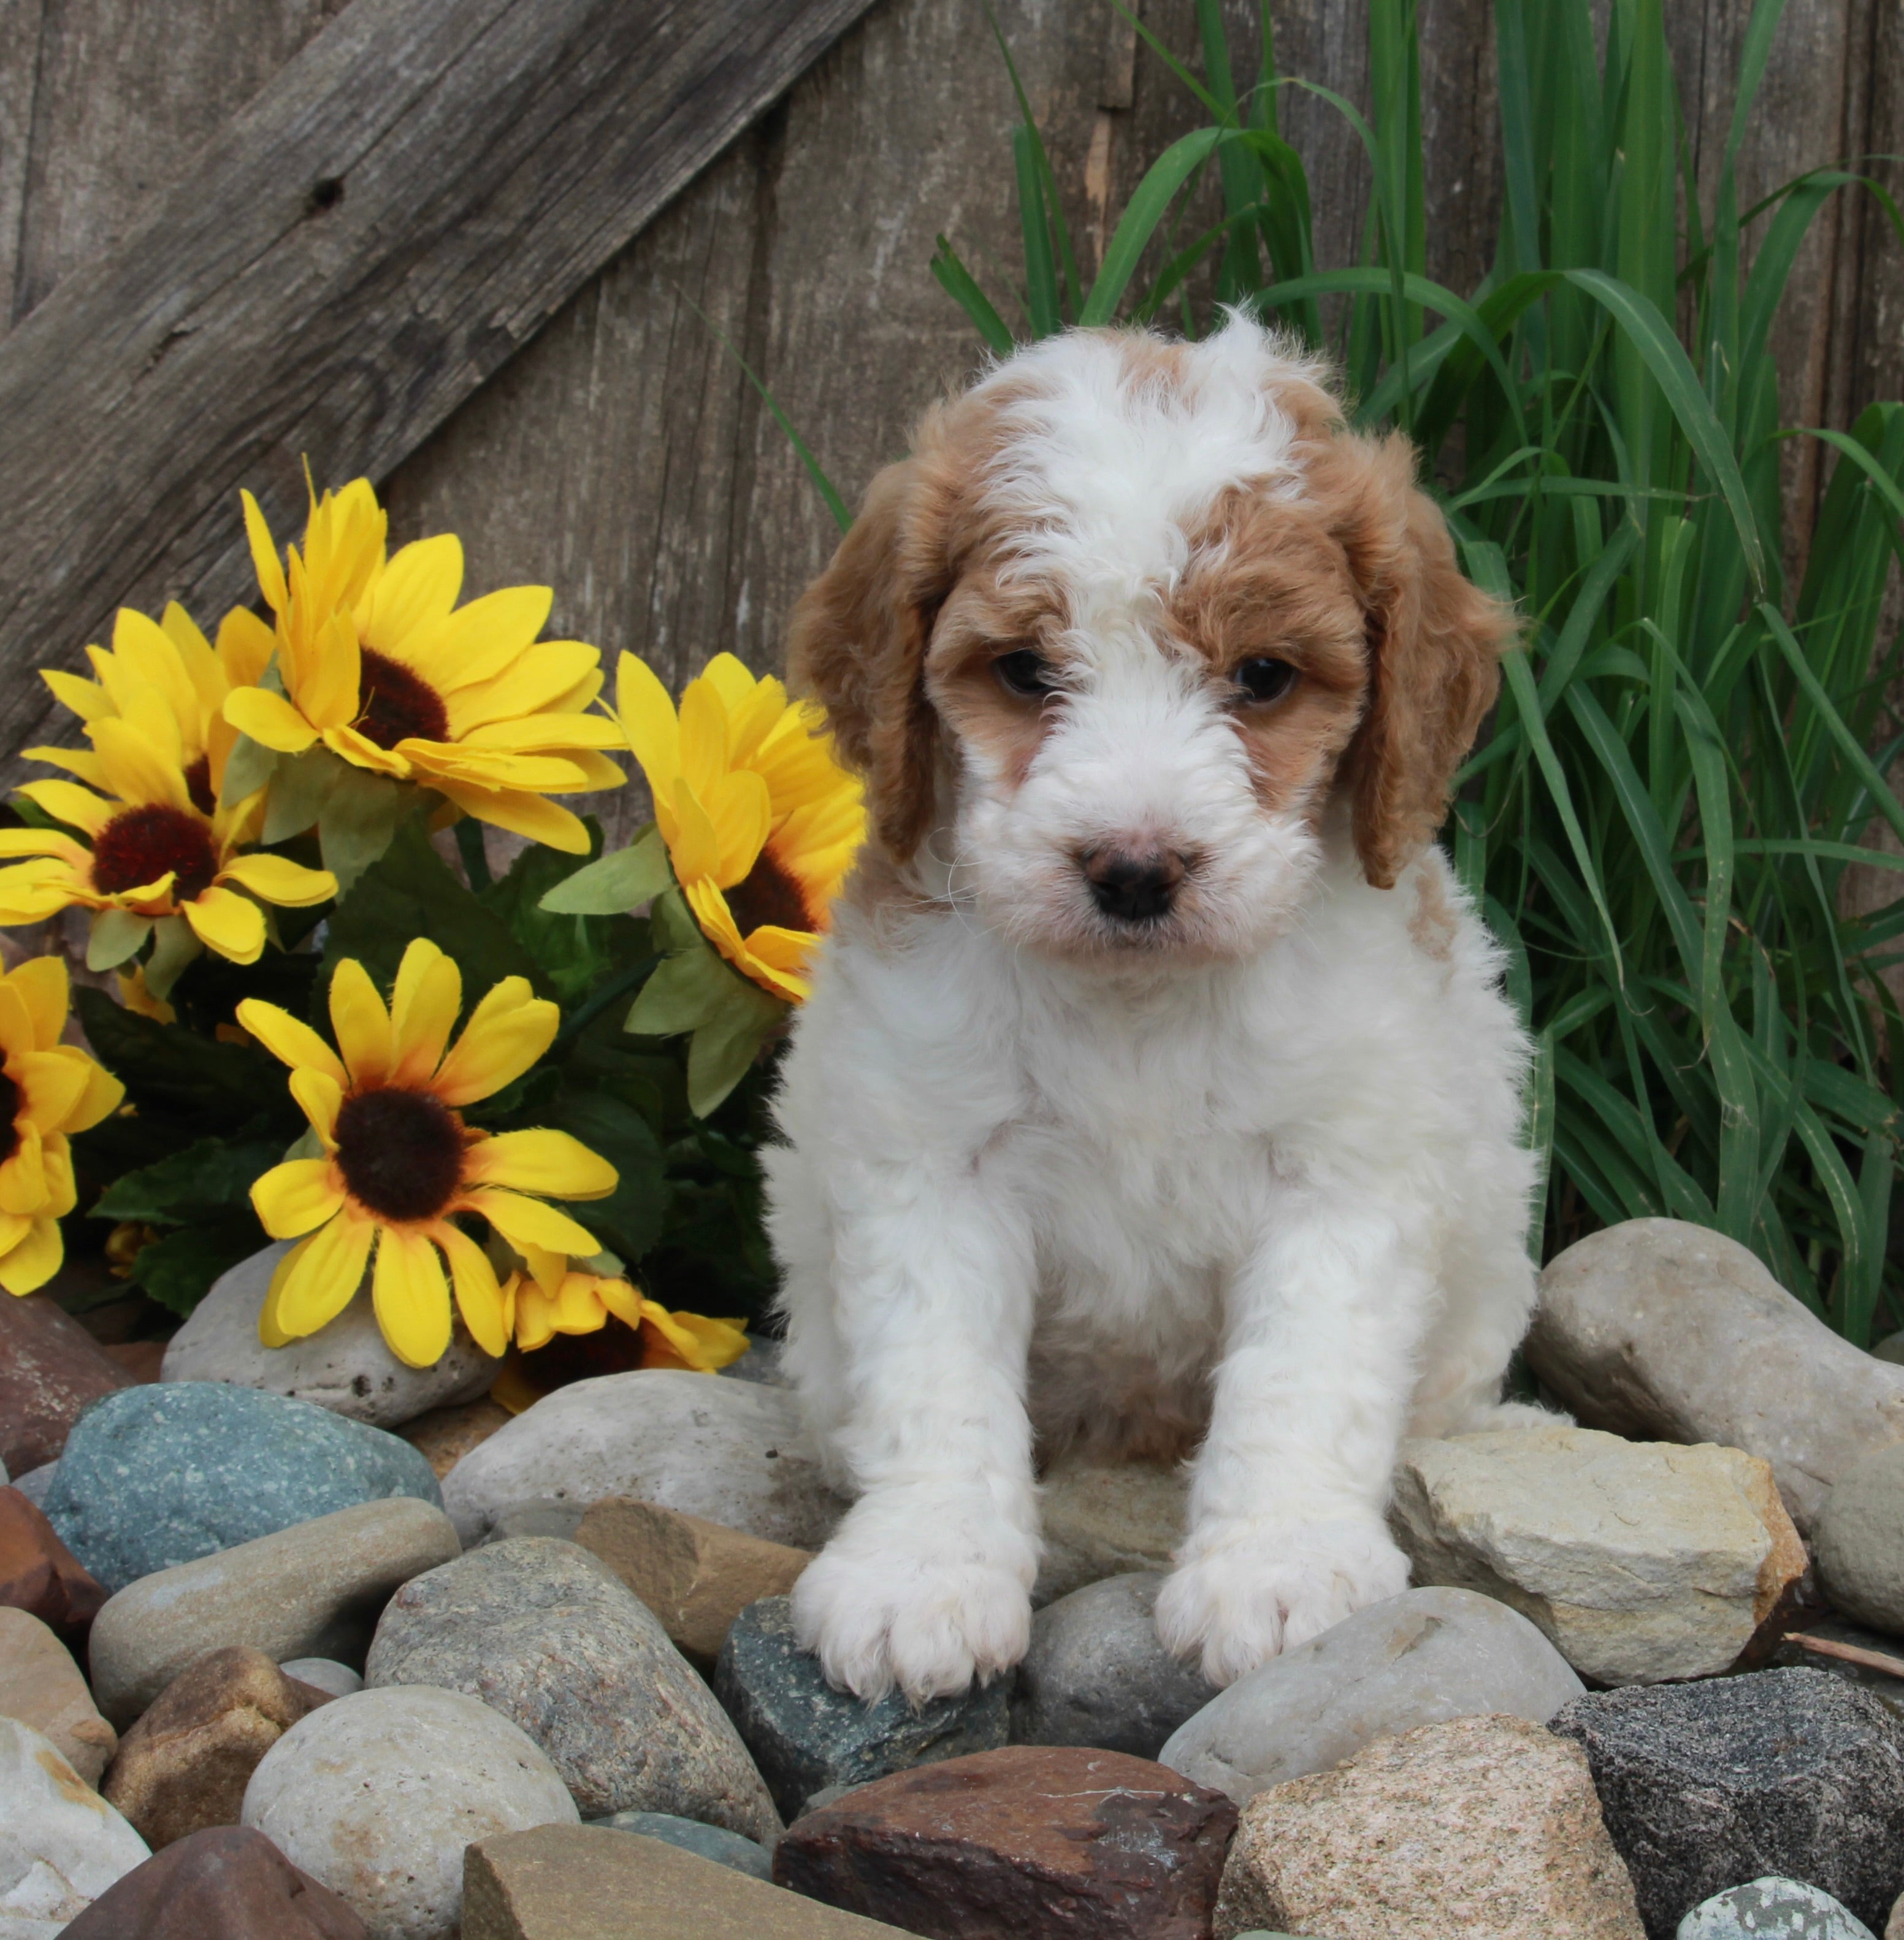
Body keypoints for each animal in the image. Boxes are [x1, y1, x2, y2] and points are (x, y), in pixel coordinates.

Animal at [763, 314, 1551, 1699]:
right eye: (1025, 670)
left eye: (1263, 675)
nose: (1132, 871)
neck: (1135, 998)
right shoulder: (931, 1162)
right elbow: (935, 1379)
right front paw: (920, 1572)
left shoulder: (1342, 1175)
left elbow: (1301, 1375)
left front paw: (1278, 1568)